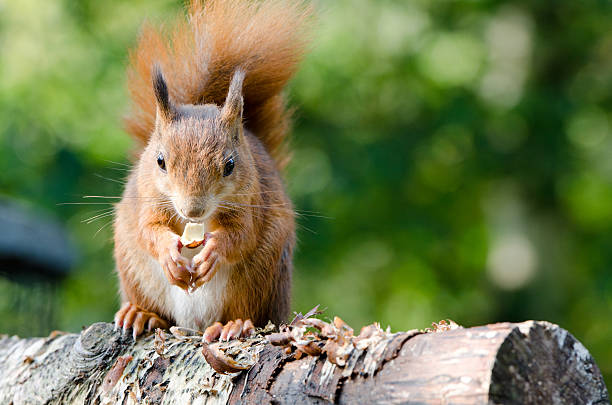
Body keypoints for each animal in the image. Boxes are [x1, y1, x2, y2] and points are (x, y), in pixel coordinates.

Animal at [112, 0, 310, 340]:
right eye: (160, 161)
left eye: (230, 165)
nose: (193, 211)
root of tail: (194, 324)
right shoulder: (147, 198)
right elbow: (148, 229)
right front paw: (167, 250)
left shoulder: (251, 201)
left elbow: (242, 235)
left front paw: (215, 249)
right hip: (133, 268)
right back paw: (141, 314)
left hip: (259, 277)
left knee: (247, 310)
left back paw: (235, 324)